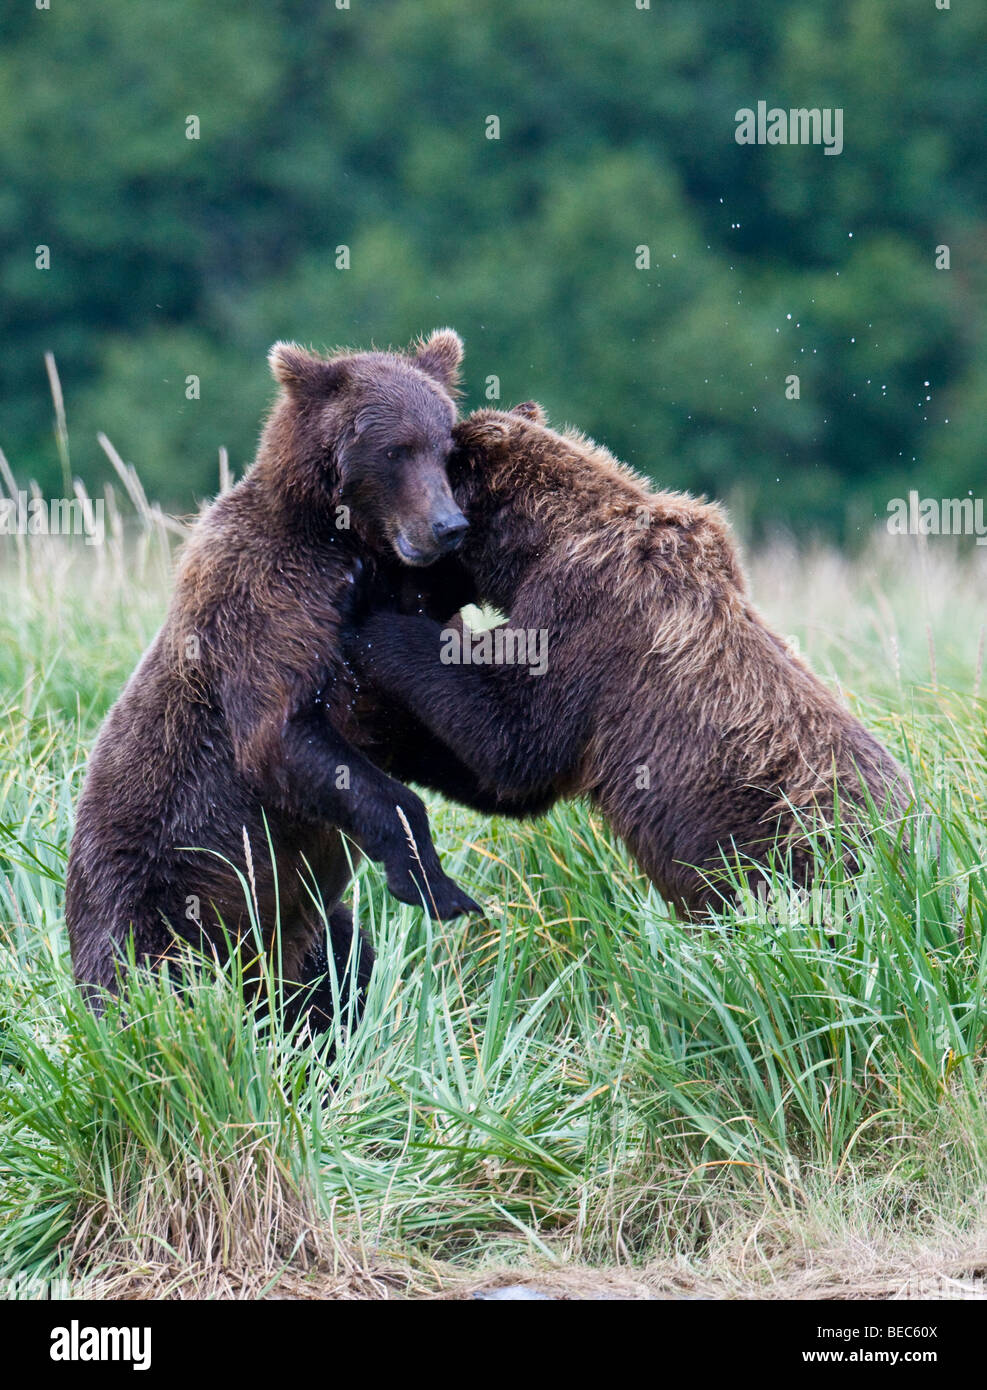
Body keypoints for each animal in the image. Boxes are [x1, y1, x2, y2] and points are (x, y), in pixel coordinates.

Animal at [64, 325, 483, 1023]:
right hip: (153, 898)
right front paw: (434, 881)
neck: (347, 545)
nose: (448, 527)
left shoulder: (394, 631)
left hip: (303, 937)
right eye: (395, 449)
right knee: (149, 992)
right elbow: (280, 735)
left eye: (447, 449)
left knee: (341, 955)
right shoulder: (266, 603)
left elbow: (442, 723)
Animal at [351, 405, 917, 922]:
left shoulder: (588, 619)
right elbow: (502, 777)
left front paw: (371, 621)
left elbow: (513, 737)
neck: (534, 547)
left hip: (793, 857)